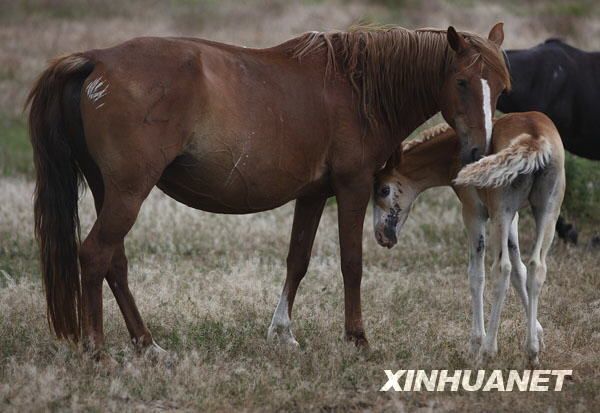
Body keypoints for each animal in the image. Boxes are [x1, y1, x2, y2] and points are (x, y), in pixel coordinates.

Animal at [25, 24, 508, 352]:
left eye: (502, 87)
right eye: (462, 82)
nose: (478, 151)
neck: (358, 90)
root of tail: (96, 59)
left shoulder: (312, 195)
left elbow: (298, 260)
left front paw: (282, 332)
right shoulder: (351, 187)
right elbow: (351, 263)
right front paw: (357, 337)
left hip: (111, 192)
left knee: (115, 263)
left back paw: (147, 344)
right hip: (128, 193)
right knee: (95, 255)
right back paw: (98, 349)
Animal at [372, 112, 564, 364]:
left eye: (384, 190)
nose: (380, 235)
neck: (454, 150)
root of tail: (533, 138)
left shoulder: (474, 212)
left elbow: (477, 275)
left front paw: (475, 343)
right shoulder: (513, 216)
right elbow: (519, 270)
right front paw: (539, 335)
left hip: (502, 210)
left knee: (501, 269)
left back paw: (487, 351)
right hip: (547, 210)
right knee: (536, 267)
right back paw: (531, 354)